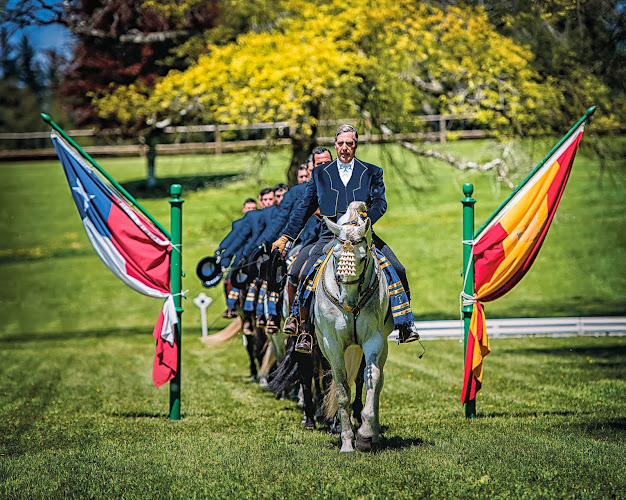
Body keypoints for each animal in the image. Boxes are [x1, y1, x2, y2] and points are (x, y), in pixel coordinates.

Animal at [314, 201, 392, 452]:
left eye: (362, 257)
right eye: (337, 256)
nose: (348, 302)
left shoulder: (374, 339)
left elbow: (372, 379)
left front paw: (365, 435)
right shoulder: (332, 345)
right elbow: (341, 390)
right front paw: (347, 442)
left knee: (377, 381)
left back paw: (374, 434)